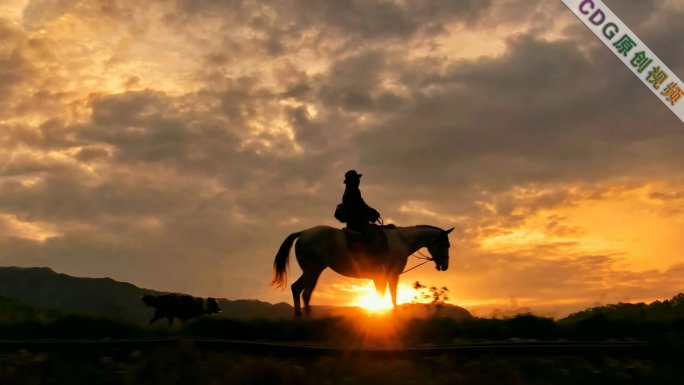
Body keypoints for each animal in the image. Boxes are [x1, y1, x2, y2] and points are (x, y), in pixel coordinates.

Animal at [268, 224, 454, 316]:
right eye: (446, 244)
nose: (445, 266)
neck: (402, 241)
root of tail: (303, 233)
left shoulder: (381, 277)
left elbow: (384, 296)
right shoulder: (392, 275)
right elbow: (392, 297)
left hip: (312, 270)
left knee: (300, 291)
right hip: (313, 269)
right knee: (302, 291)